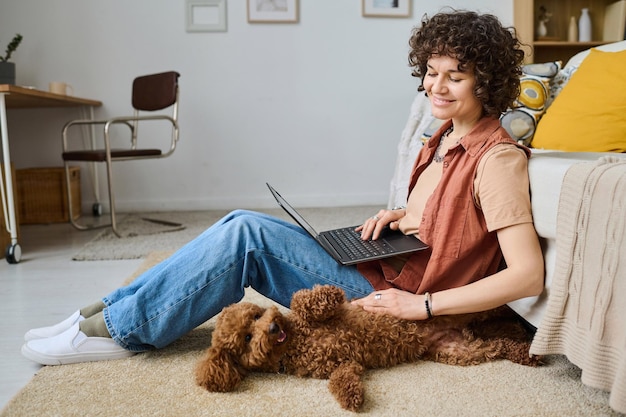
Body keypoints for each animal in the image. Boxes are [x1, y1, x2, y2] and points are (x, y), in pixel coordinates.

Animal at [195, 282, 536, 410]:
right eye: (246, 338)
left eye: (256, 314)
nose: (272, 327)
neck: (294, 342)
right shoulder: (343, 364)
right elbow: (341, 380)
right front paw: (352, 397)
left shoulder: (320, 317)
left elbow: (302, 301)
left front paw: (329, 294)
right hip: (458, 352)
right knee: (498, 345)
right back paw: (526, 352)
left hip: (468, 309)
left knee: (501, 310)